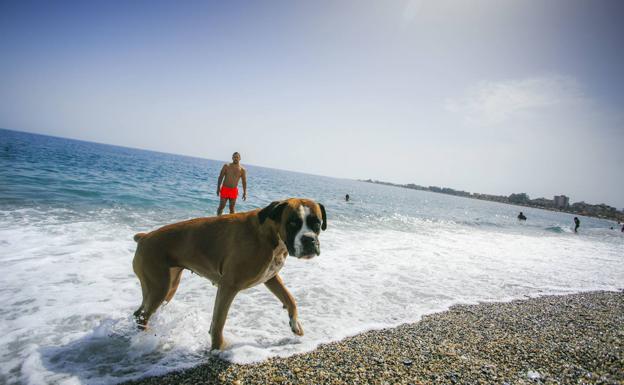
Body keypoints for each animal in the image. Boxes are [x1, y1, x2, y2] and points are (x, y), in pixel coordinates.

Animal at [130, 196, 326, 350]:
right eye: (292, 223)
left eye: (316, 224)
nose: (309, 240)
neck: (270, 234)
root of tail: (144, 237)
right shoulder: (228, 286)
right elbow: (219, 321)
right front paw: (218, 349)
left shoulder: (270, 278)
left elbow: (289, 298)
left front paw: (295, 324)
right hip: (160, 288)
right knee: (143, 316)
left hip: (167, 288)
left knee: (140, 312)